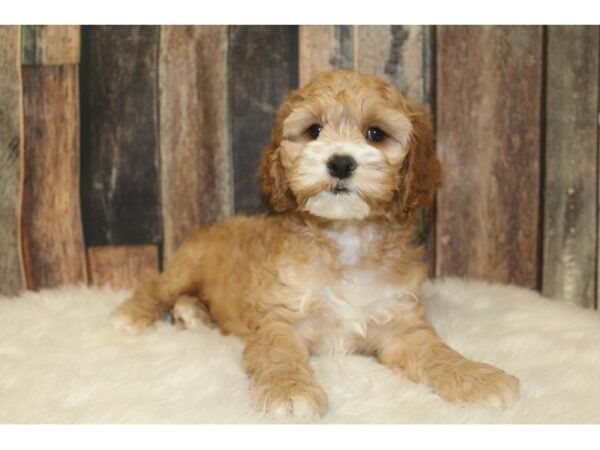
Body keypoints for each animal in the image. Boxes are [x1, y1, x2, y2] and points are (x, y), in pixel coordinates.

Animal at [113, 69, 520, 418]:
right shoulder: (279, 317)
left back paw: (191, 314)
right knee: (158, 286)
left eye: (375, 134)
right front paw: (289, 391)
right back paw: (134, 315)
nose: (340, 163)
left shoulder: (402, 325)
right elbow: (280, 354)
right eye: (314, 130)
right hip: (188, 266)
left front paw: (476, 377)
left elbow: (436, 351)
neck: (347, 237)